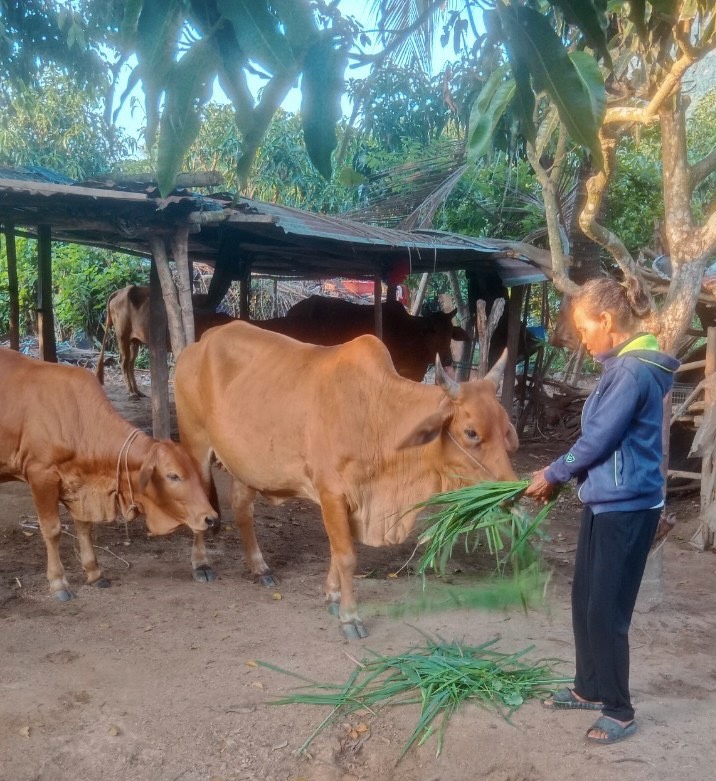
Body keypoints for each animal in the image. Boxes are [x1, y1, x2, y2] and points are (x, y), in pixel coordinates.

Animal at [0, 348, 218, 596]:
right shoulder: (40, 475)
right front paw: (58, 582)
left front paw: (94, 573)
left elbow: (85, 527)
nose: (210, 518)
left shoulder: (79, 487)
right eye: (173, 475)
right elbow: (52, 529)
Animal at [176, 320, 516, 636]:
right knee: (200, 502)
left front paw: (333, 596)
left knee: (242, 508)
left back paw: (260, 568)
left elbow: (336, 552)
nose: (513, 492)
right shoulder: (332, 493)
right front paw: (350, 617)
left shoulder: (353, 499)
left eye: (505, 427)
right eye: (471, 432)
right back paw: (201, 564)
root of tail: (202, 341)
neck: (379, 418)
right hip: (196, 443)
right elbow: (347, 556)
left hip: (245, 462)